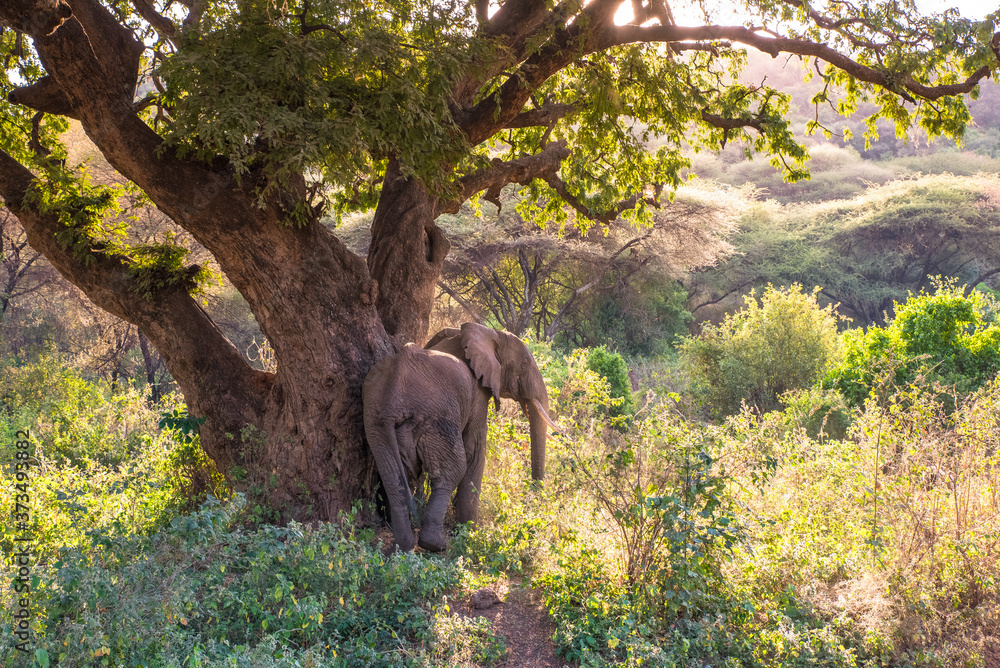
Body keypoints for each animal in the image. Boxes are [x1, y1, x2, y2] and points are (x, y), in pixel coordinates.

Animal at [362, 322, 557, 552]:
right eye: (525, 365)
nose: (534, 501)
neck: (487, 333)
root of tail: (393, 390)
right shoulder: (478, 395)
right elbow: (474, 450)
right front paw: (470, 533)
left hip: (375, 422)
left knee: (393, 479)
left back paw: (401, 549)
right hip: (438, 417)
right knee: (453, 469)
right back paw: (434, 545)